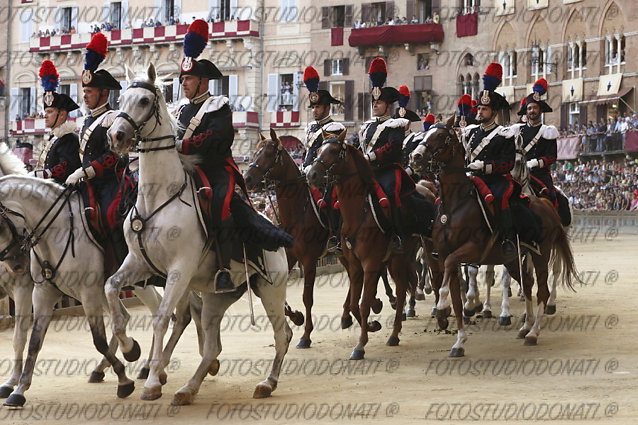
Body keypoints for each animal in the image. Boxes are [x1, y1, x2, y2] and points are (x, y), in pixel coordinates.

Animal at [105, 63, 292, 404]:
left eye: (144, 100)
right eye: (121, 98)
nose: (116, 136)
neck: (158, 197)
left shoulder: (179, 270)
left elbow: (161, 317)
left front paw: (152, 381)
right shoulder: (138, 263)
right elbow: (111, 287)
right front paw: (129, 347)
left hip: (271, 289)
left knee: (282, 334)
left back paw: (267, 383)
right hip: (216, 298)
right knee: (212, 347)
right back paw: (188, 389)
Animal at [308, 129, 422, 358]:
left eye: (333, 151)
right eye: (317, 150)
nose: (311, 174)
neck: (357, 213)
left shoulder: (370, 264)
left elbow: (362, 304)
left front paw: (360, 345)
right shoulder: (354, 264)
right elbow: (355, 303)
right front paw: (371, 326)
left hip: (401, 256)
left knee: (401, 290)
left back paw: (394, 333)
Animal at [412, 115, 584, 354]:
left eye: (440, 136)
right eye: (425, 135)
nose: (415, 157)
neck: (455, 205)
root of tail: (545, 203)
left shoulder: (471, 249)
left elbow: (453, 276)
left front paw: (443, 305)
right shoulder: (445, 253)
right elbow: (456, 295)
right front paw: (459, 340)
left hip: (541, 253)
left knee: (543, 288)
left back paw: (534, 331)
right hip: (512, 258)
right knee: (528, 283)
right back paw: (525, 326)